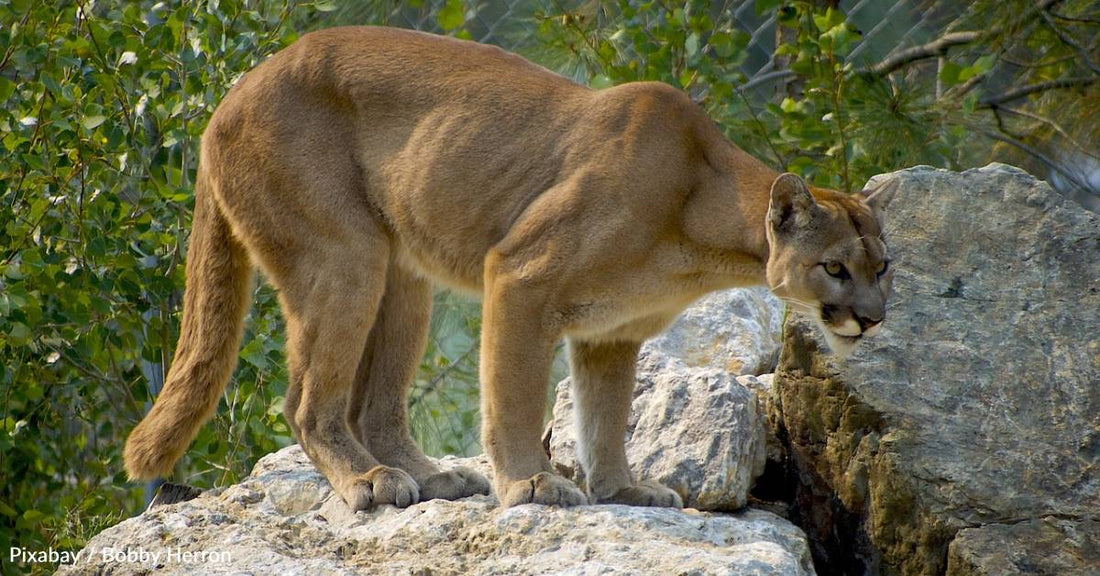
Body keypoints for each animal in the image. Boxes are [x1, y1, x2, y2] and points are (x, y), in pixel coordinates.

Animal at [122, 26, 893, 510]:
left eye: (883, 268)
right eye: (835, 268)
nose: (873, 320)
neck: (701, 227)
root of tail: (229, 96)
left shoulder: (611, 332)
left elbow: (606, 416)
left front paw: (620, 489)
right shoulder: (522, 276)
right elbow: (514, 395)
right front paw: (531, 486)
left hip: (404, 275)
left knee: (374, 401)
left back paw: (429, 476)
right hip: (346, 258)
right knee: (307, 402)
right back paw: (369, 482)